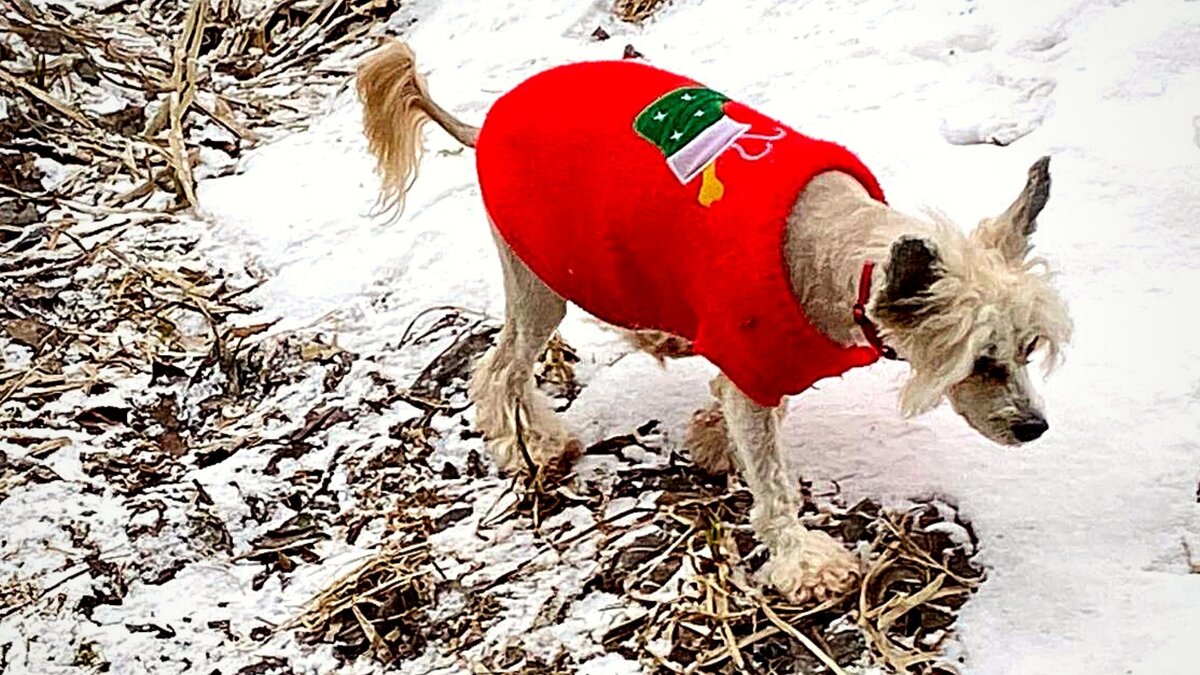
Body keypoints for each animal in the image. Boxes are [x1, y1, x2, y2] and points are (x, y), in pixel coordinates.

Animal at [352, 42, 1070, 598]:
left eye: (1029, 348)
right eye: (981, 361)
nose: (1035, 428)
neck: (832, 249)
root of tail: (484, 124)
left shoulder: (758, 359)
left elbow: (741, 412)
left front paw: (711, 438)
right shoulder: (750, 358)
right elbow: (772, 477)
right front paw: (804, 560)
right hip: (540, 278)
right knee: (499, 368)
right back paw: (532, 444)